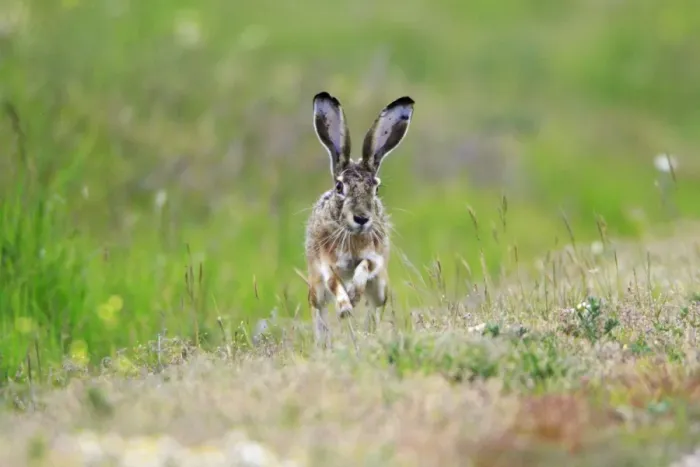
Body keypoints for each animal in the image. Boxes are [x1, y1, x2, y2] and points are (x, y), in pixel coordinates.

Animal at [304, 91, 415, 347]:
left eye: (376, 188)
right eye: (339, 187)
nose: (361, 218)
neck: (351, 234)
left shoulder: (375, 256)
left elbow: (365, 267)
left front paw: (354, 294)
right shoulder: (325, 262)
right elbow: (334, 283)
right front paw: (345, 307)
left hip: (381, 288)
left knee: (374, 307)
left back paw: (367, 332)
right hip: (315, 287)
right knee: (318, 309)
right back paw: (324, 341)